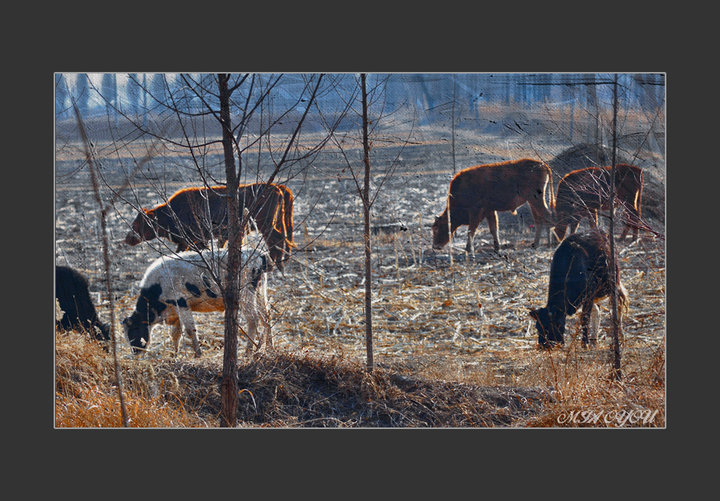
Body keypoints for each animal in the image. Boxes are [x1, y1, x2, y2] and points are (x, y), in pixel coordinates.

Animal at [122, 242, 272, 356]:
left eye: (133, 331)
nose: (135, 352)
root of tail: (259, 253)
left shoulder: (181, 303)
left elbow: (190, 329)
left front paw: (198, 354)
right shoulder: (175, 311)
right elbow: (176, 334)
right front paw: (175, 355)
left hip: (245, 293)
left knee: (253, 319)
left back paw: (248, 351)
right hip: (260, 290)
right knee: (266, 316)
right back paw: (268, 346)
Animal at [125, 183, 294, 270]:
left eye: (137, 223)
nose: (128, 238)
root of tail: (276, 187)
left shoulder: (194, 239)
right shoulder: (191, 241)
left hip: (266, 224)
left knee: (277, 239)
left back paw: (275, 265)